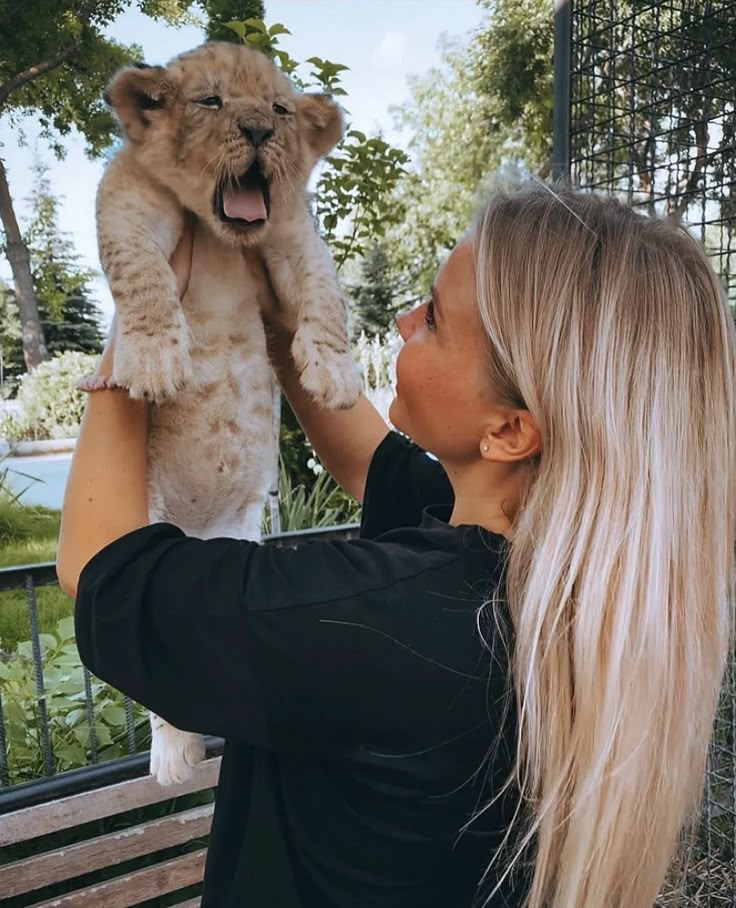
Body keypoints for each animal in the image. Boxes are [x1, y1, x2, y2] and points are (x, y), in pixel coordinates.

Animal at [98, 40, 362, 788]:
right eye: (211, 101)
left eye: (279, 109)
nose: (258, 131)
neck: (224, 240)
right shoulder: (128, 200)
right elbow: (139, 272)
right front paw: (151, 361)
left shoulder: (295, 234)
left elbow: (326, 296)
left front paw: (335, 375)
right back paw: (173, 759)